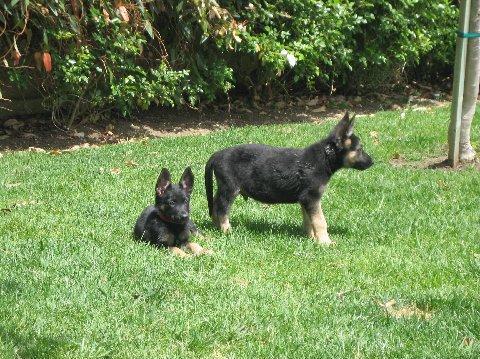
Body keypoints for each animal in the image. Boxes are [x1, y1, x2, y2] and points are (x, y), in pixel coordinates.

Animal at [204, 113, 374, 248]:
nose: (372, 162)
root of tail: (216, 155)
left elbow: (309, 221)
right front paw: (325, 242)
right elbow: (320, 221)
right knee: (222, 209)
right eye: (359, 149)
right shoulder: (311, 198)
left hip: (224, 188)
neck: (325, 157)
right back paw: (227, 231)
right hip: (230, 188)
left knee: (215, 205)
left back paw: (216, 227)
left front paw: (312, 238)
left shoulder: (305, 200)